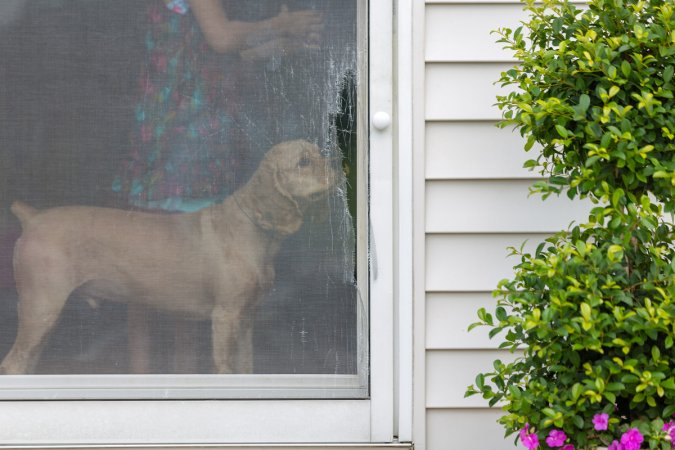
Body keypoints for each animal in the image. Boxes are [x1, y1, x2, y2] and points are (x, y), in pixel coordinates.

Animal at [0, 142, 338, 376]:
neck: (253, 227)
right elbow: (224, 368)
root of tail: (33, 217)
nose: (336, 170)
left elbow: (247, 367)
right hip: (40, 308)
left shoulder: (246, 318)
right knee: (13, 365)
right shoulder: (225, 316)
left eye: (319, 153)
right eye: (303, 161)